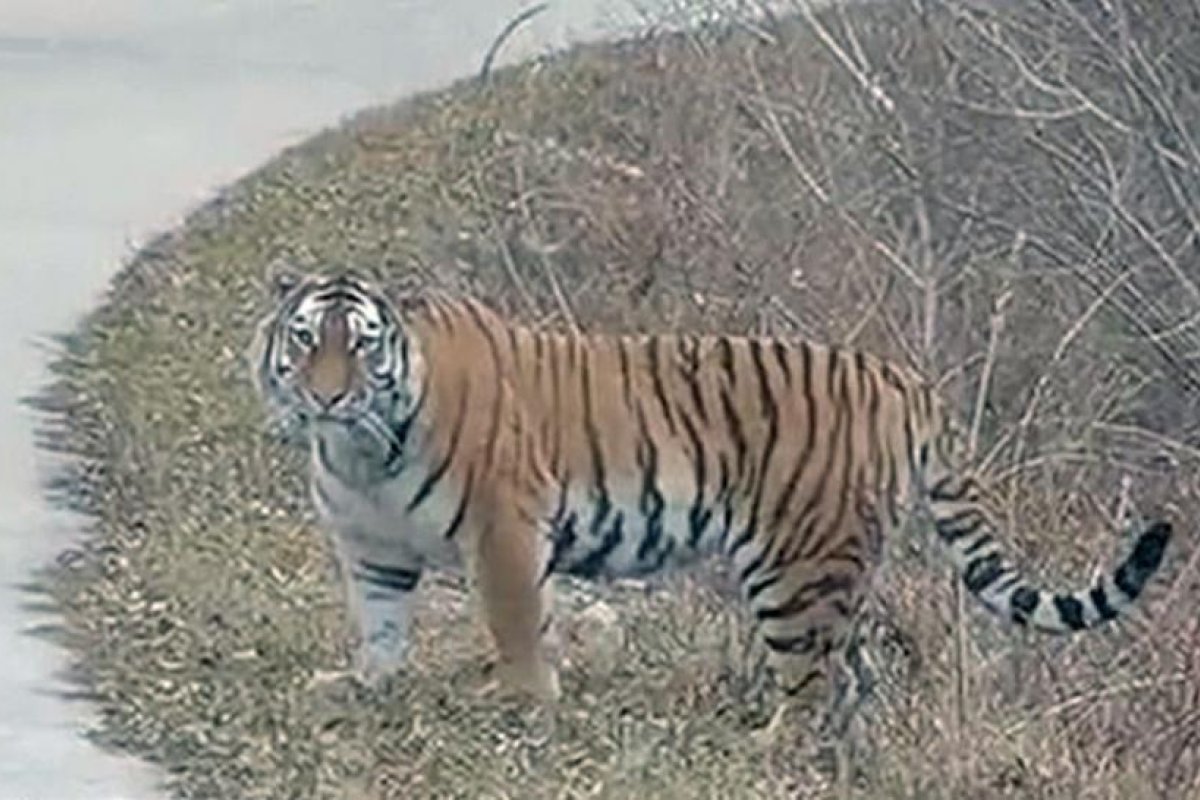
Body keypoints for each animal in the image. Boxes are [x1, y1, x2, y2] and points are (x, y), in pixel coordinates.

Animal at [248, 269, 1171, 724]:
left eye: (362, 346)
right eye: (306, 339)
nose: (327, 396)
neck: (360, 451)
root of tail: (901, 377)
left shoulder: (504, 530)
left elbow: (514, 625)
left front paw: (522, 702)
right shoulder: (372, 551)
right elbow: (380, 629)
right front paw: (365, 688)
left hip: (795, 569)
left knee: (818, 685)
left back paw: (771, 751)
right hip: (828, 571)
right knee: (853, 680)